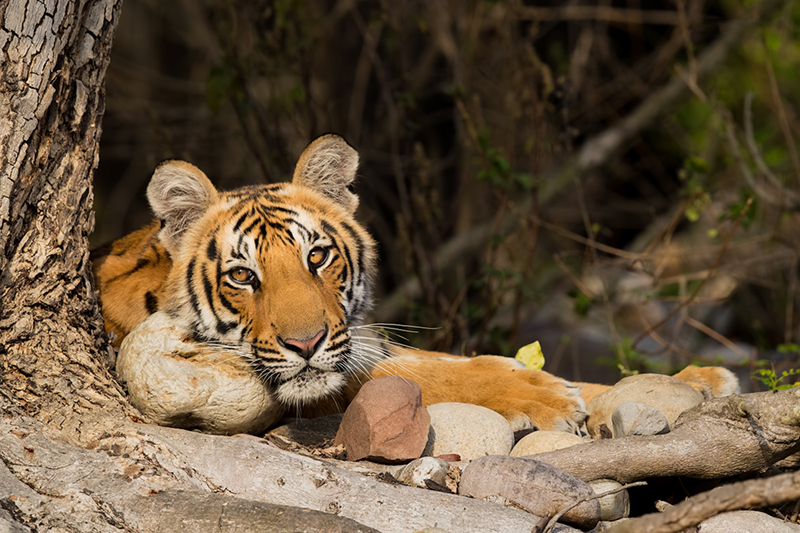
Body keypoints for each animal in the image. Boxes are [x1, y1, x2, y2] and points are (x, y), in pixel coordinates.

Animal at [91, 134, 739, 436]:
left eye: (317, 257)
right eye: (242, 276)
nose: (305, 344)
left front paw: (696, 381)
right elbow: (436, 374)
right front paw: (544, 396)